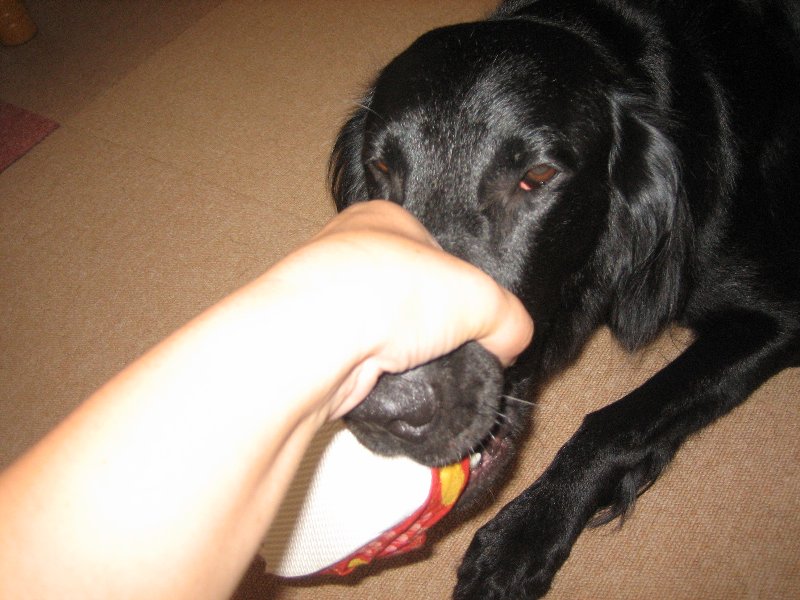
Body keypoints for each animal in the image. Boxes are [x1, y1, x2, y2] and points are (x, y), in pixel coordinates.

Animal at [329, 1, 800, 597]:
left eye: (537, 175)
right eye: (382, 168)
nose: (387, 411)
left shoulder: (779, 312)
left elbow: (618, 420)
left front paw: (521, 537)